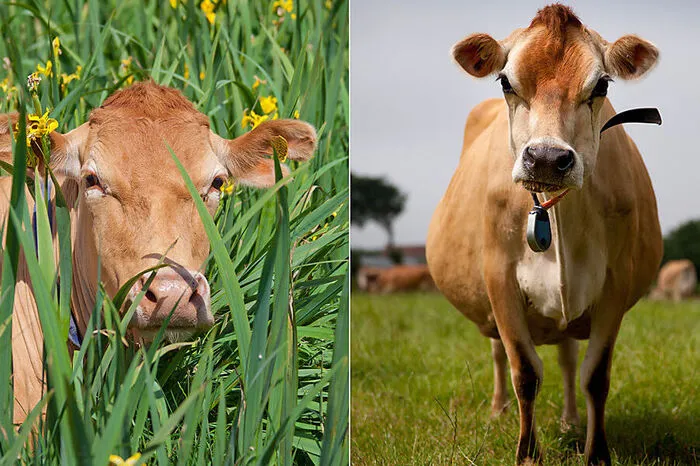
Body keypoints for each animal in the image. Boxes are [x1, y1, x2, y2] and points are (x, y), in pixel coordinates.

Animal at [426, 5, 661, 465]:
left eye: (601, 84)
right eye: (505, 81)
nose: (547, 159)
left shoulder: (616, 281)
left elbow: (595, 375)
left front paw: (596, 453)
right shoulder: (499, 279)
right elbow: (525, 372)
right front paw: (527, 453)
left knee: (569, 359)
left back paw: (570, 420)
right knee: (499, 354)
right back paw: (498, 411)